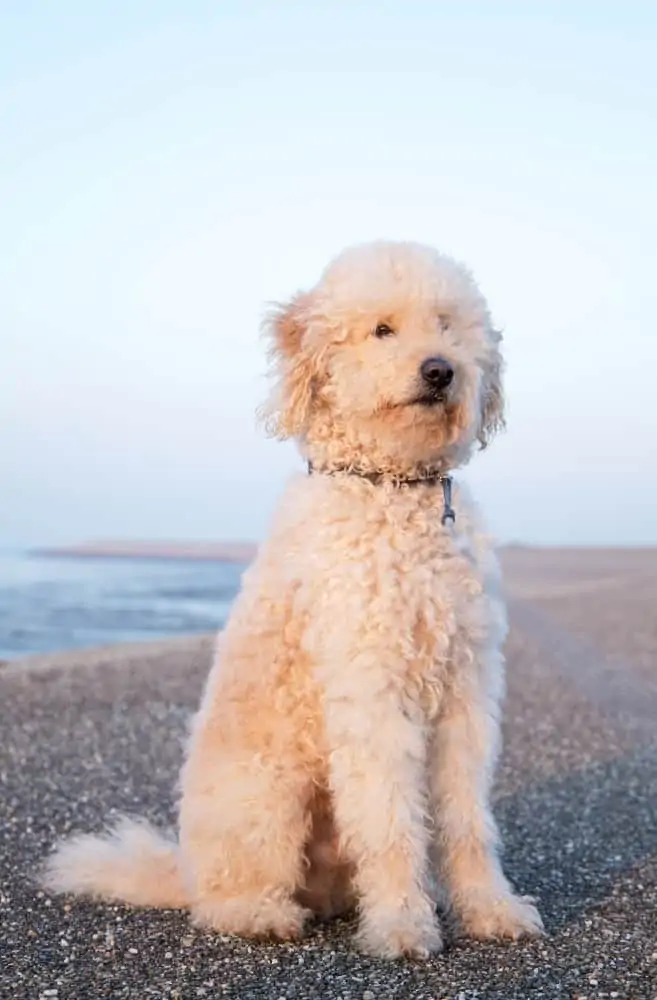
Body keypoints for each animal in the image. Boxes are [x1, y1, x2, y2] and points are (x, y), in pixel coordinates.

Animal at [42, 238, 544, 956]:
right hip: (268, 795)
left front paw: (490, 909)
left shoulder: (466, 692)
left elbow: (467, 820)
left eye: (447, 325)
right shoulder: (371, 693)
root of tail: (183, 869)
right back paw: (261, 914)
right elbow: (391, 822)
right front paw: (401, 923)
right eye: (381, 329)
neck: (393, 491)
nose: (440, 370)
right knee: (227, 897)